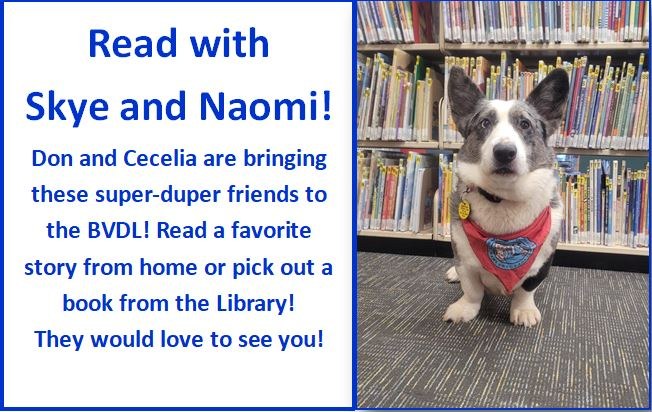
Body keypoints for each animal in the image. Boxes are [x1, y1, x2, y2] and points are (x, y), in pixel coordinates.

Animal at [446, 66, 568, 326]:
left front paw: (523, 311)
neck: (503, 197)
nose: (504, 152)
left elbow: (526, 290)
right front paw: (465, 308)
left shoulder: (541, 263)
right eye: (484, 123)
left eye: (525, 124)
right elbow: (471, 288)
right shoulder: (464, 257)